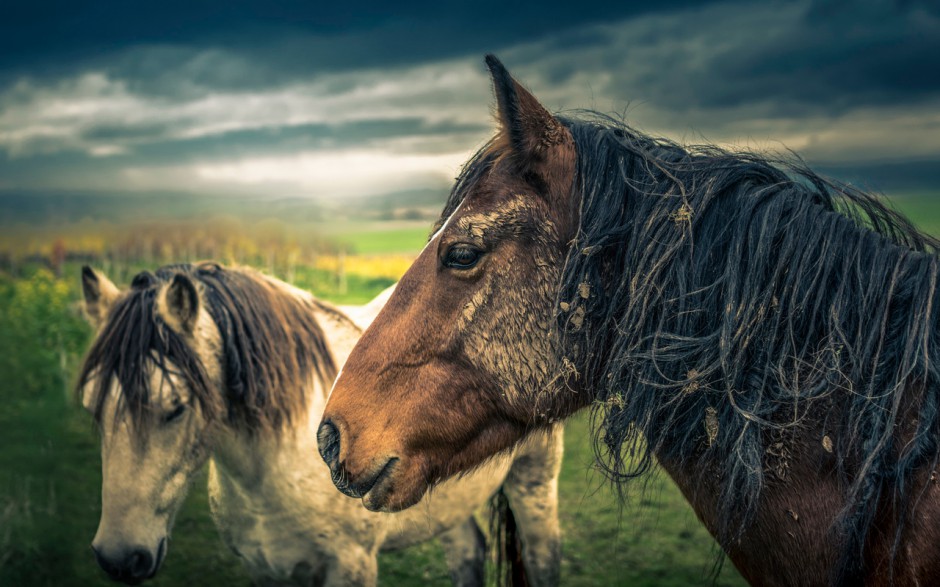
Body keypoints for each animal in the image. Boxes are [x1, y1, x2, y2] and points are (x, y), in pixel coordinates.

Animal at [77, 264, 560, 584]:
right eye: (91, 408)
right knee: (467, 553)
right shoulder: (265, 569)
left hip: (534, 485)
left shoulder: (351, 567)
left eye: (175, 408)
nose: (118, 558)